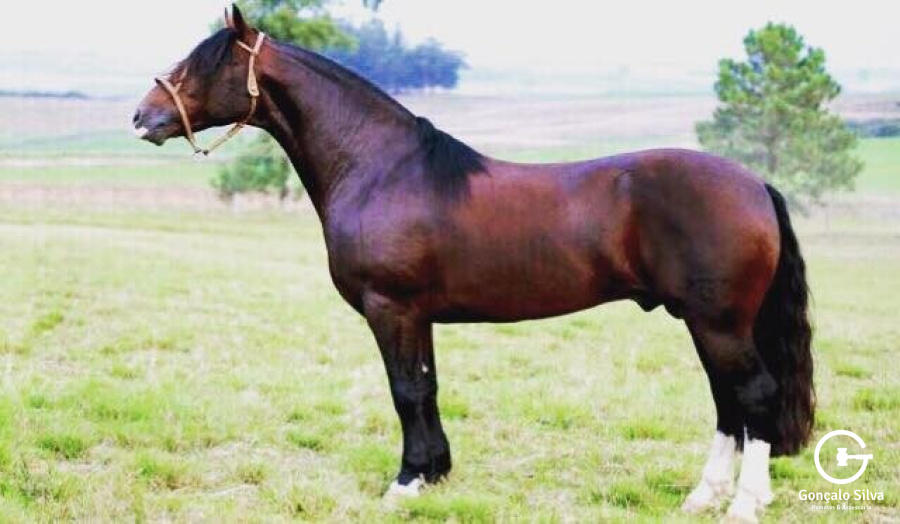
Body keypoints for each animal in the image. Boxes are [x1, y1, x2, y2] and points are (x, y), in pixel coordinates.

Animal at [133, 6, 813, 521]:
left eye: (202, 64)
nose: (143, 116)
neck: (381, 168)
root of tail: (753, 182)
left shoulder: (391, 308)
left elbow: (405, 390)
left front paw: (405, 483)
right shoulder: (419, 315)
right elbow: (427, 387)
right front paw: (435, 472)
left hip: (718, 322)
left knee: (753, 396)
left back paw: (744, 503)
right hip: (707, 322)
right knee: (728, 402)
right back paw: (703, 496)